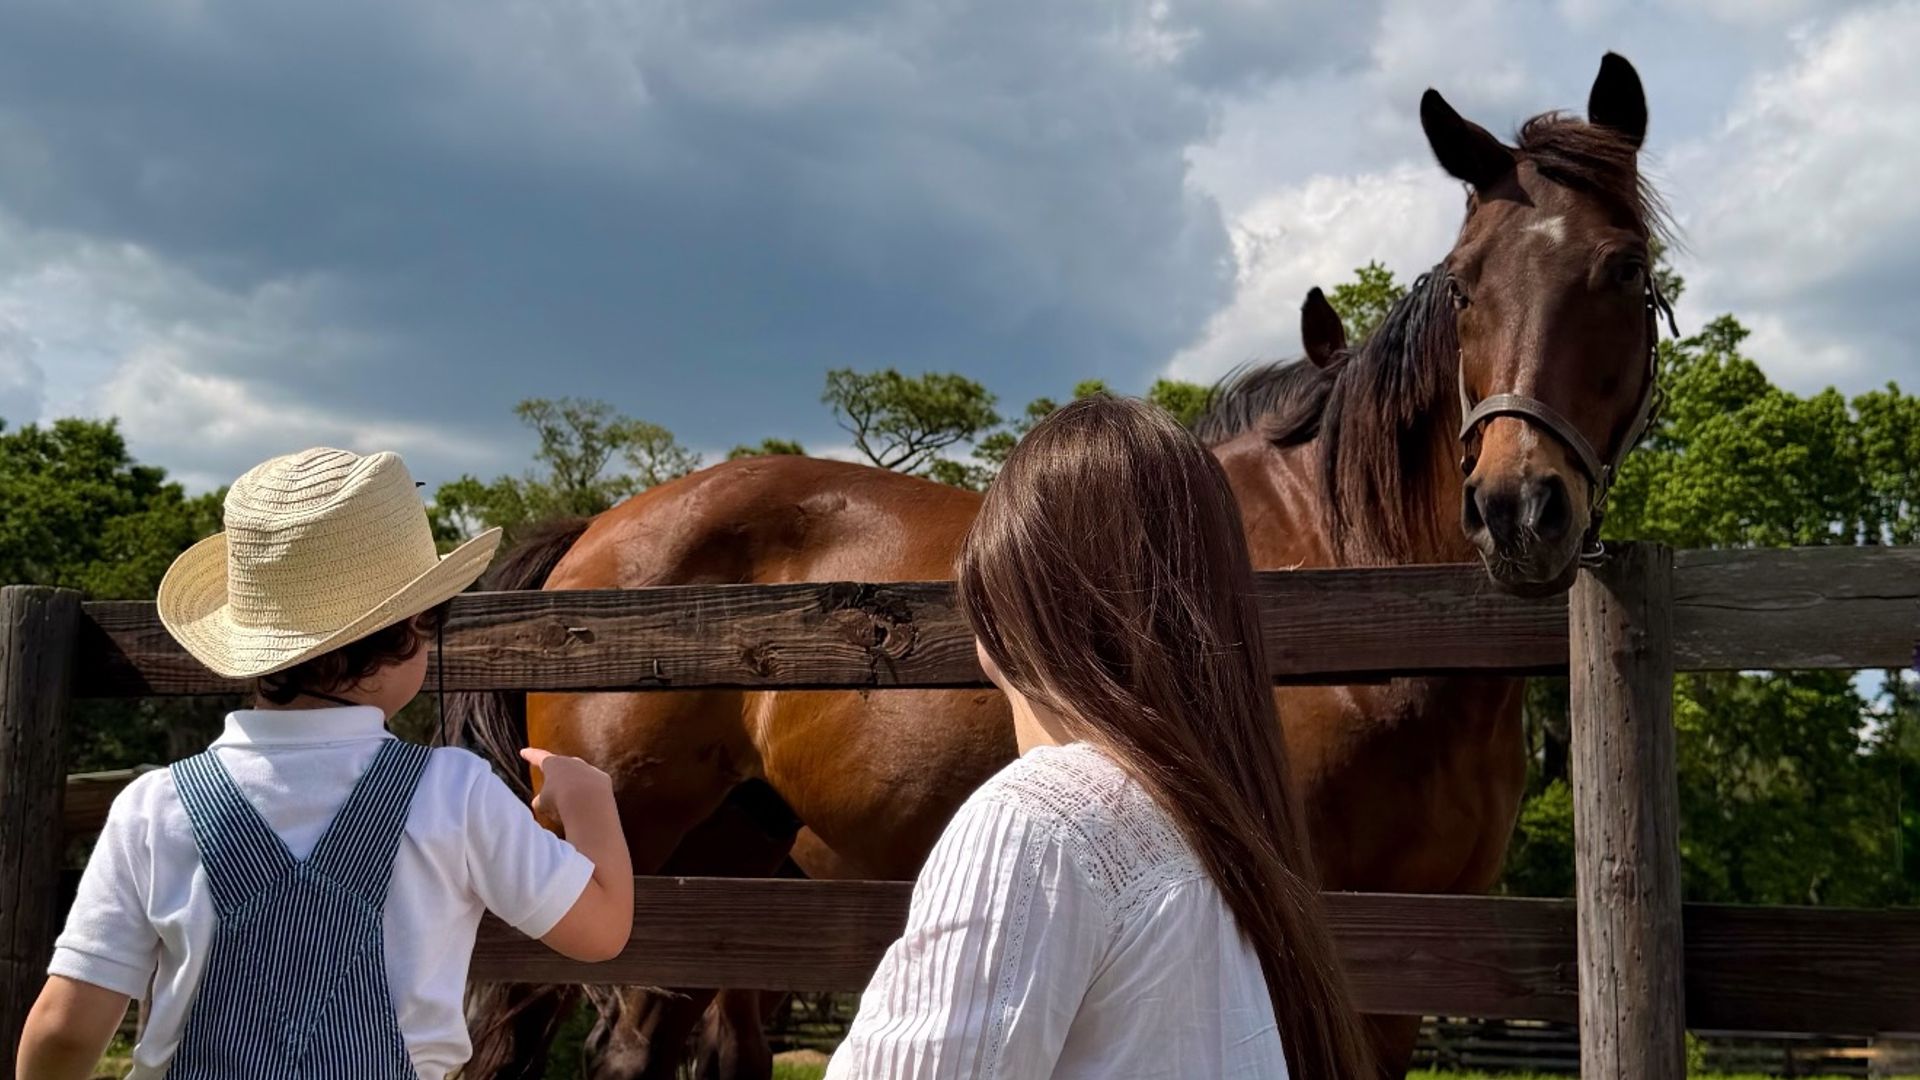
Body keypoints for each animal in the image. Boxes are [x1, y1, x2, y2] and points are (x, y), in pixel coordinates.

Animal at [453, 52, 1670, 1079]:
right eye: (1464, 285)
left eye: (1625, 270)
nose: (1516, 508)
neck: (1362, 600)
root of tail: (602, 533)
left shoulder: (1420, 948)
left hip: (725, 869)